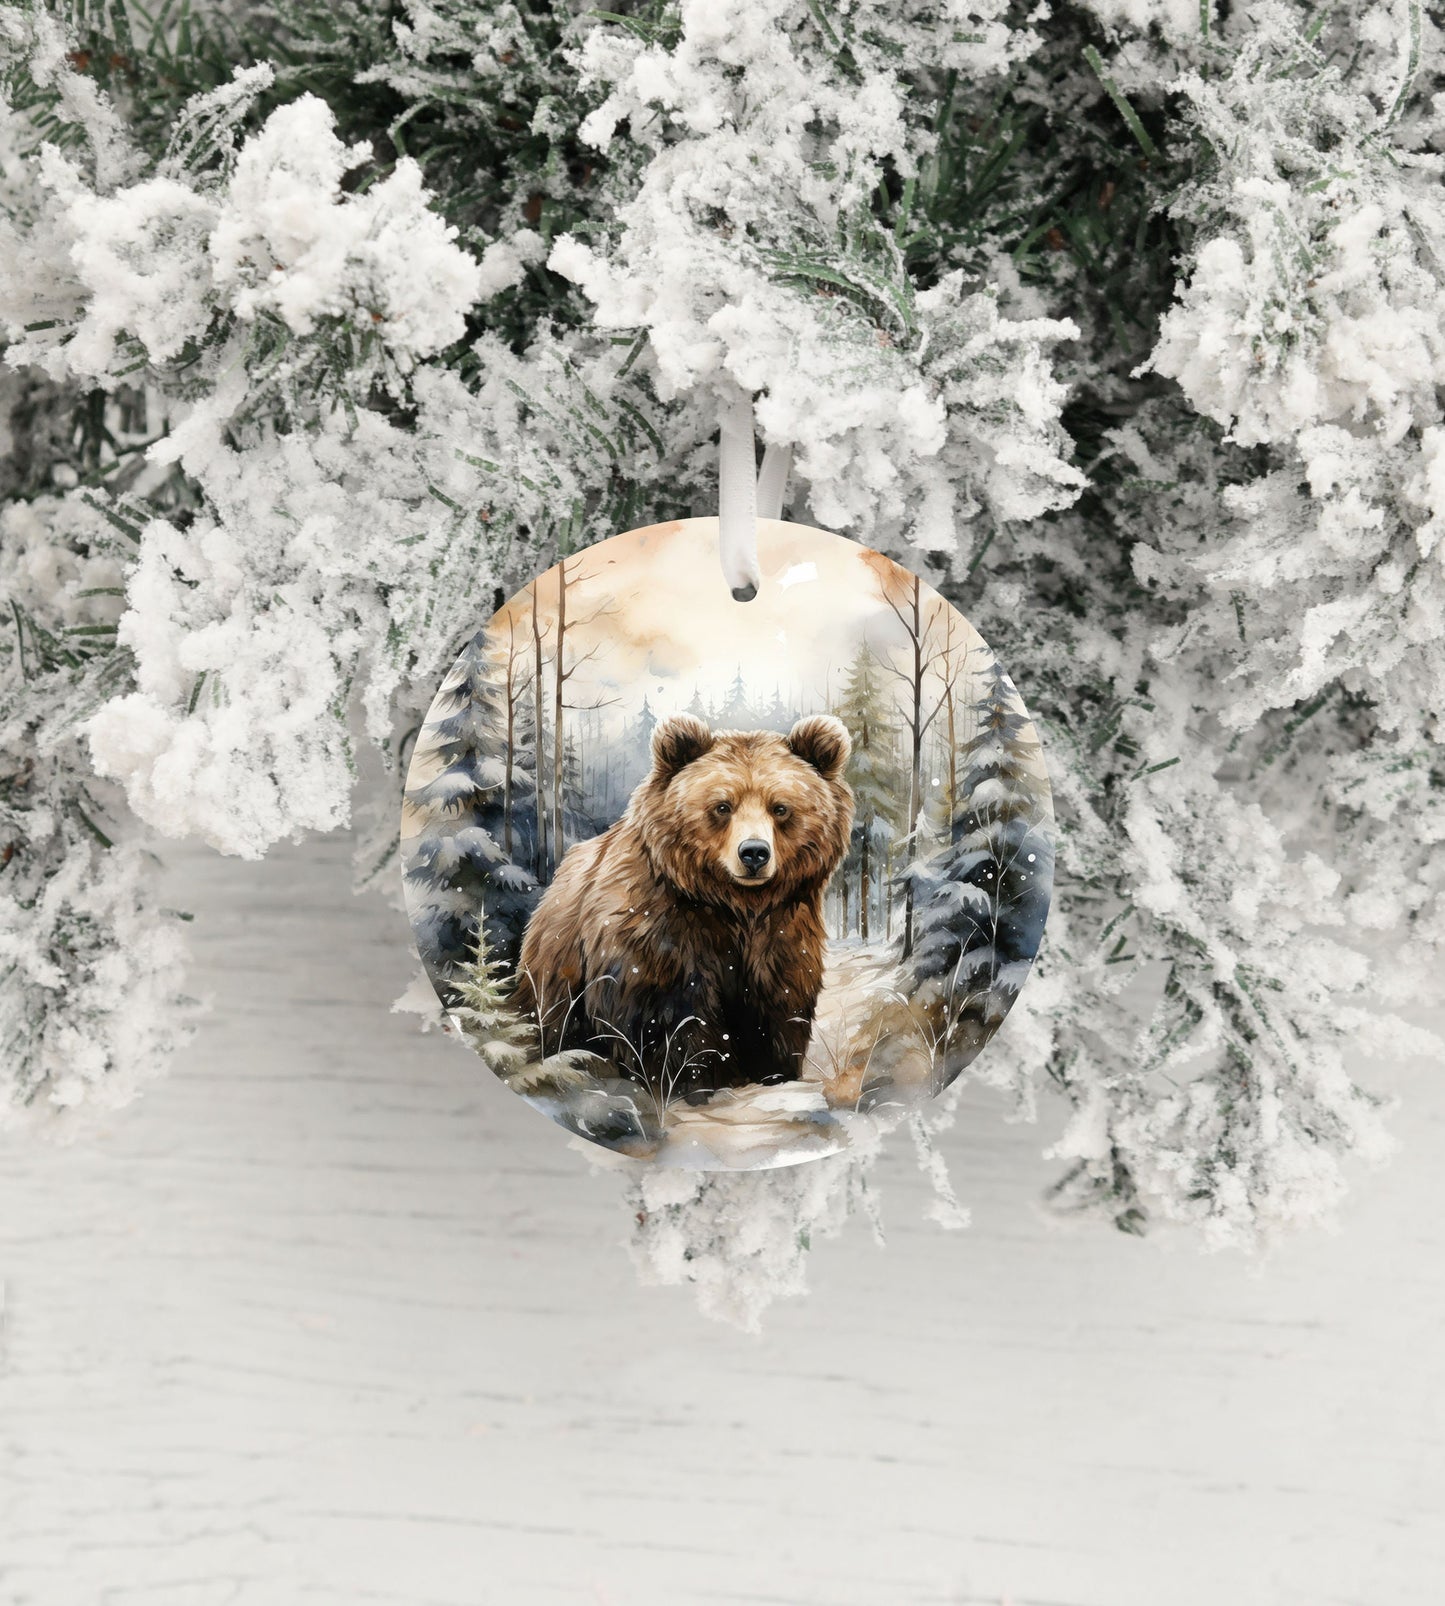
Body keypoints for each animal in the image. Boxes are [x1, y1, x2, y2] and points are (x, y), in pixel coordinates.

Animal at [511, 712, 853, 1102]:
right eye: (722, 806)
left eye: (780, 808)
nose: (754, 853)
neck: (735, 905)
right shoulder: (661, 936)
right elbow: (673, 1020)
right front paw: (697, 1078)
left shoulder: (782, 931)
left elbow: (780, 1006)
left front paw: (774, 1071)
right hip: (555, 969)